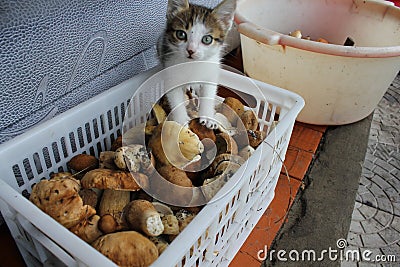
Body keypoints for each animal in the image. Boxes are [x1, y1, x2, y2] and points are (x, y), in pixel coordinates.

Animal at [157, 0, 238, 130]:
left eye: (207, 39)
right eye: (181, 34)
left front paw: (208, 116)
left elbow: (208, 93)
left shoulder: (211, 73)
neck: (192, 64)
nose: (191, 50)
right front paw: (181, 121)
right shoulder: (170, 72)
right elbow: (176, 99)